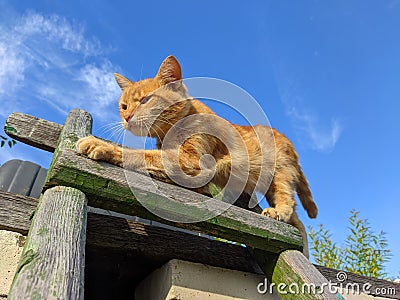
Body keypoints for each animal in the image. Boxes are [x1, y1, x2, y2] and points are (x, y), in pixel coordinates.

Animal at [76, 55, 318, 256]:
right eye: (123, 106)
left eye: (145, 100)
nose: (126, 117)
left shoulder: (190, 162)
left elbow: (140, 155)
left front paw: (98, 144)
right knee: (299, 224)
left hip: (279, 177)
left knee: (288, 203)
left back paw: (278, 213)